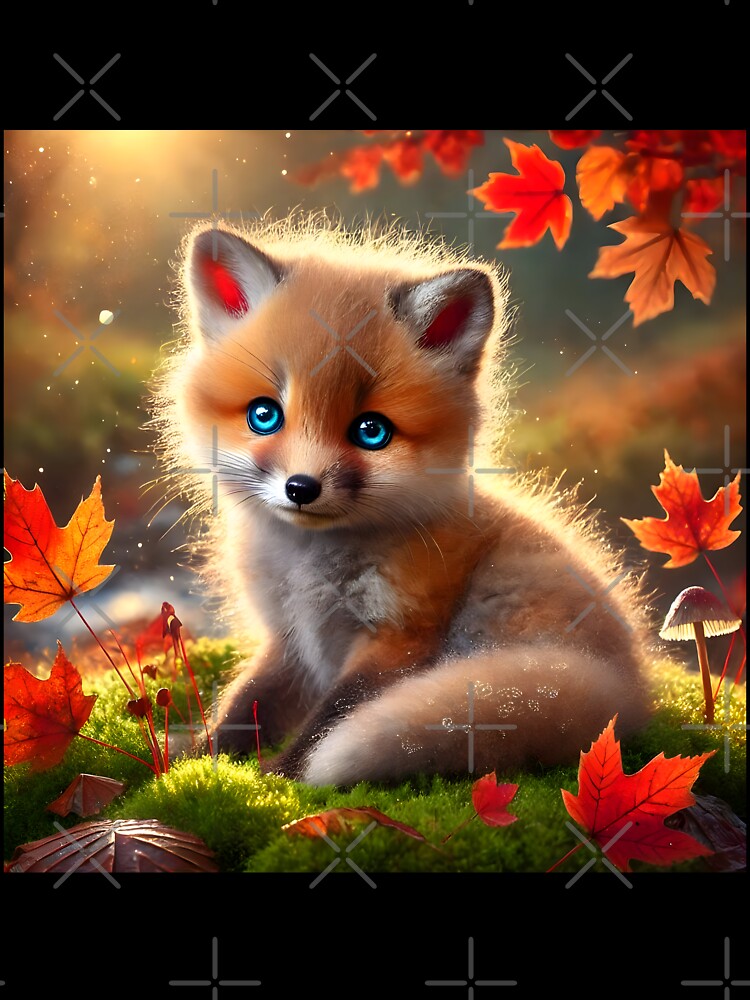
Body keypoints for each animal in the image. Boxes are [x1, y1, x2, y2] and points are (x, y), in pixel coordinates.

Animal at [153, 214, 650, 786]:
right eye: (264, 415)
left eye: (372, 432)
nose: (301, 488)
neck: (310, 576)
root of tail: (628, 693)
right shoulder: (291, 642)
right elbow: (246, 706)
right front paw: (193, 763)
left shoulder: (397, 637)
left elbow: (329, 720)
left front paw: (278, 777)